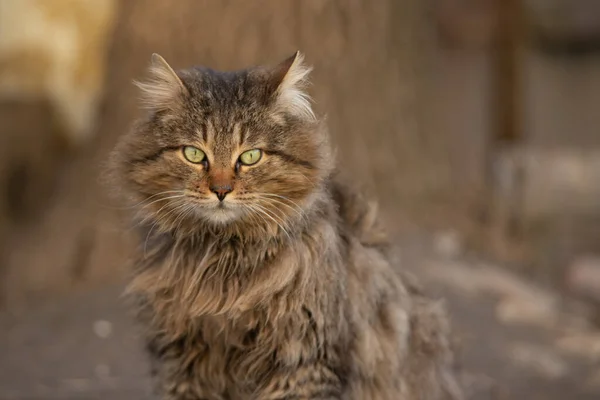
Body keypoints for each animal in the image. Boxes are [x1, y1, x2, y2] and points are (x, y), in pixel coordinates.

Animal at [109, 53, 464, 400]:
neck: (224, 265)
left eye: (251, 156)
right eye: (194, 154)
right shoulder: (181, 357)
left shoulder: (302, 360)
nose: (221, 190)